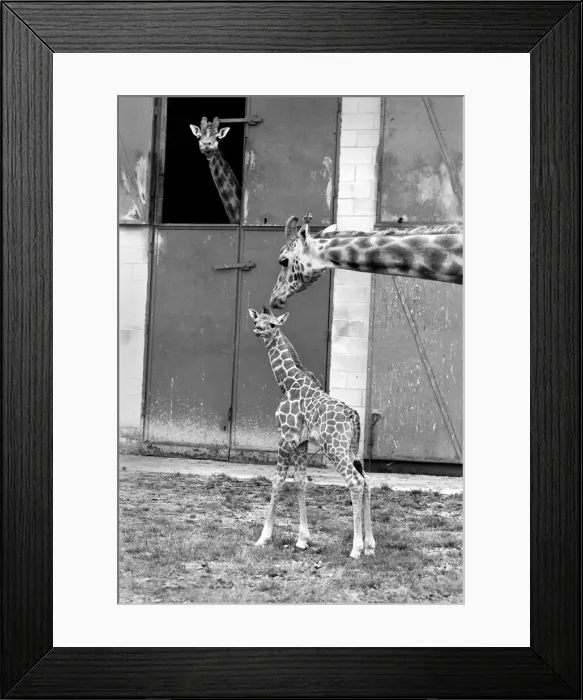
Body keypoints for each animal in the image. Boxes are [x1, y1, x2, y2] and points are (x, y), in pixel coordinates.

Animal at [248, 306, 375, 559]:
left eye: (273, 324)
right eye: (258, 320)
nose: (258, 329)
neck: (288, 382)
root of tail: (354, 418)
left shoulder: (285, 436)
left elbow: (278, 480)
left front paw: (263, 537)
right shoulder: (301, 442)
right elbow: (300, 480)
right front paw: (302, 539)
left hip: (334, 448)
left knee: (355, 481)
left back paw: (356, 549)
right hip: (350, 450)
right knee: (366, 481)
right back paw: (369, 545)